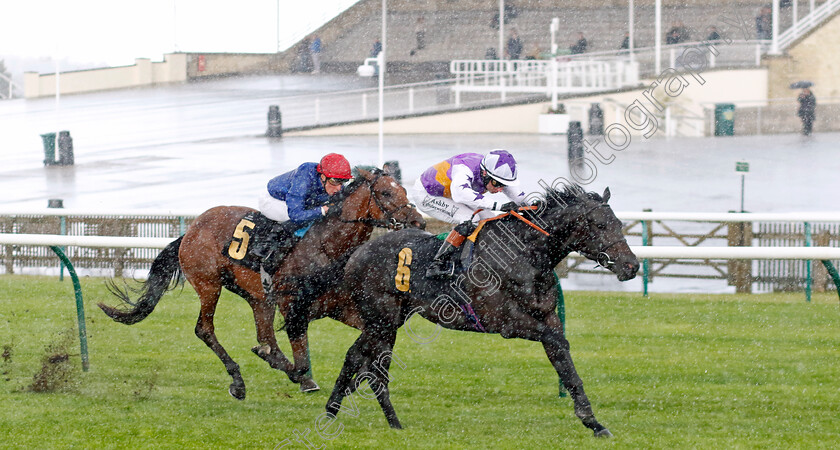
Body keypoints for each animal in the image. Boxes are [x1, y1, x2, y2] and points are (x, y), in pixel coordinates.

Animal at [99, 168, 426, 398]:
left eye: (404, 189)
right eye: (385, 193)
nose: (419, 222)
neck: (327, 246)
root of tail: (191, 229)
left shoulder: (339, 307)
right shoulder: (294, 309)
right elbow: (301, 362)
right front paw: (299, 376)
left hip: (258, 298)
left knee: (265, 334)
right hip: (209, 284)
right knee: (205, 329)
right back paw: (239, 381)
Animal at [288, 183, 636, 436]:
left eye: (619, 223)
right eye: (600, 225)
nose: (631, 266)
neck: (525, 254)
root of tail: (357, 252)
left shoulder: (547, 316)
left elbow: (563, 359)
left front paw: (594, 422)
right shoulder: (506, 322)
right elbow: (557, 342)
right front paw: (589, 417)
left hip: (386, 321)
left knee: (356, 357)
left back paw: (338, 411)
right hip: (381, 320)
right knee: (375, 370)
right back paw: (387, 421)